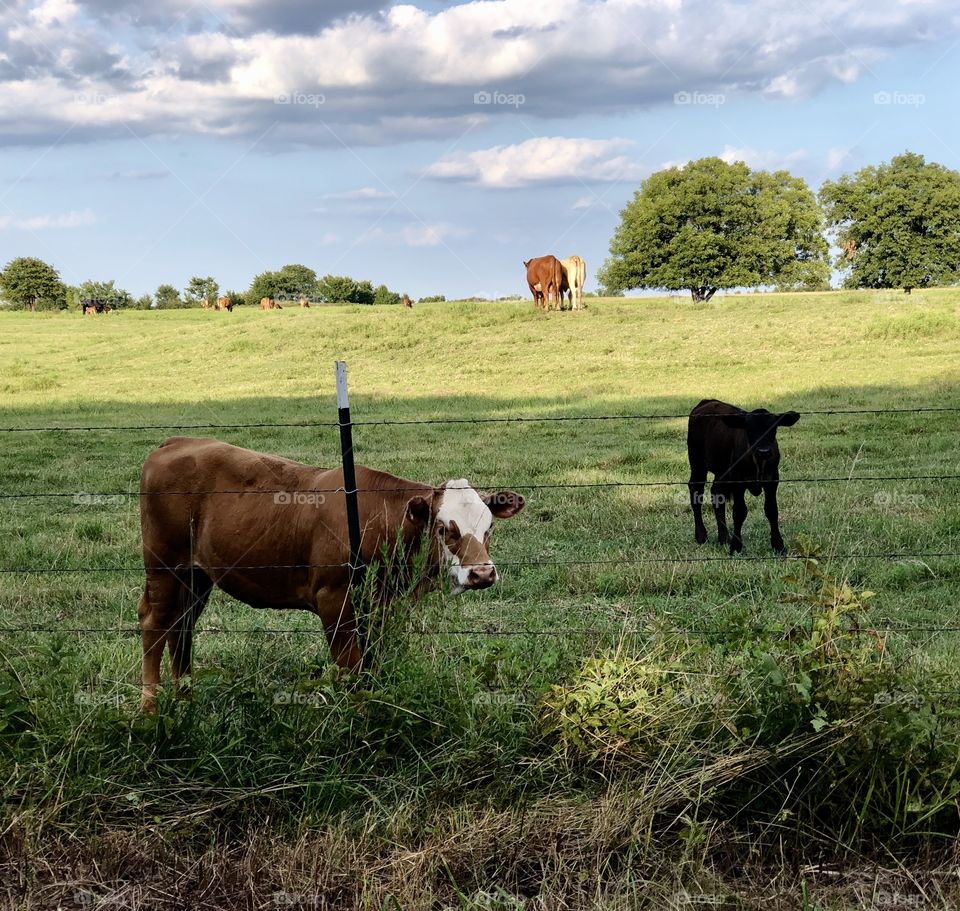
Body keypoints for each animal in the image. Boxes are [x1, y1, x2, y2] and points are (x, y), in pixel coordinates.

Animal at [136, 436, 524, 712]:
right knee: (155, 624)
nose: (482, 573)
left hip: (196, 577)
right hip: (164, 567)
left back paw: (186, 701)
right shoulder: (334, 602)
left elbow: (374, 663)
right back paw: (150, 710)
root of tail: (177, 442)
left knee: (181, 627)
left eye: (488, 527)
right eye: (444, 528)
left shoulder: (384, 608)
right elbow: (349, 669)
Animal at [688, 400, 800, 556]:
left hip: (722, 471)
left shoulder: (772, 480)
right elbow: (739, 512)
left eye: (773, 430)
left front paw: (778, 545)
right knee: (696, 491)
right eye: (749, 430)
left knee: (716, 493)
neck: (758, 462)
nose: (763, 451)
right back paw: (701, 536)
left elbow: (772, 510)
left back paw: (724, 538)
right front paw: (736, 546)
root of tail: (707, 402)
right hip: (697, 462)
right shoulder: (738, 481)